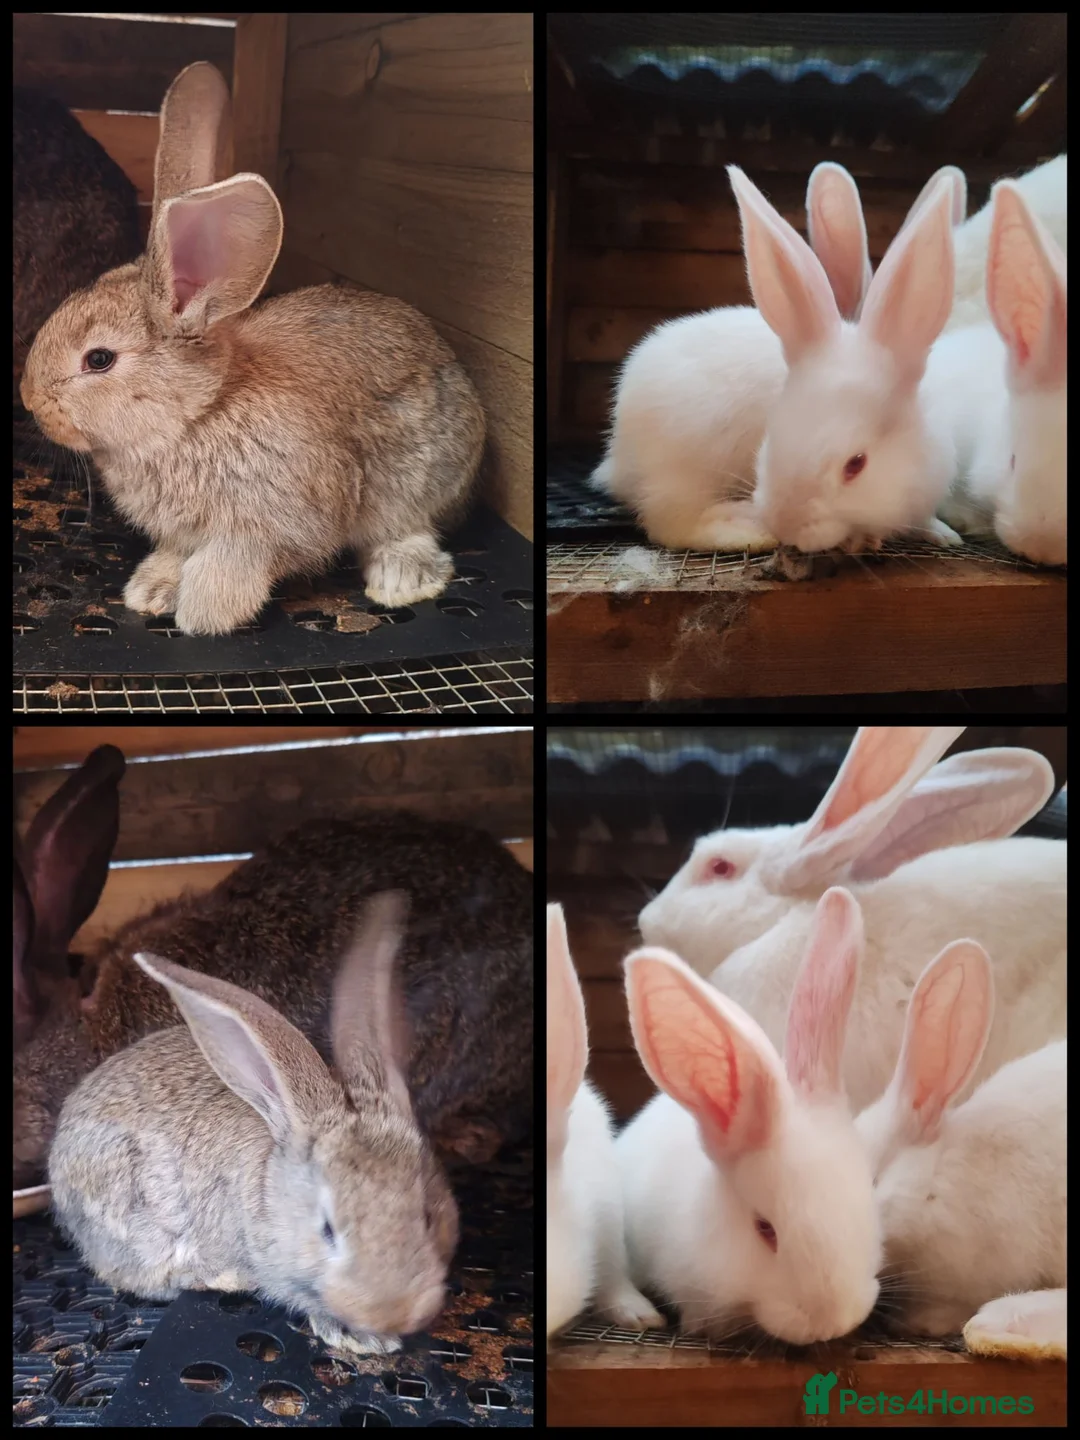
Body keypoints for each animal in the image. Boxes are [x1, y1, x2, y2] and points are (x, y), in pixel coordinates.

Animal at [19, 62, 484, 635]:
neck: (197, 414)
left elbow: (232, 566)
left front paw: (202, 615)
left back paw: (399, 582)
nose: (29, 399)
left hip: (419, 483)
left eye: (99, 359)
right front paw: (150, 592)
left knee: (411, 529)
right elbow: (176, 556)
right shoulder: (183, 533)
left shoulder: (270, 526)